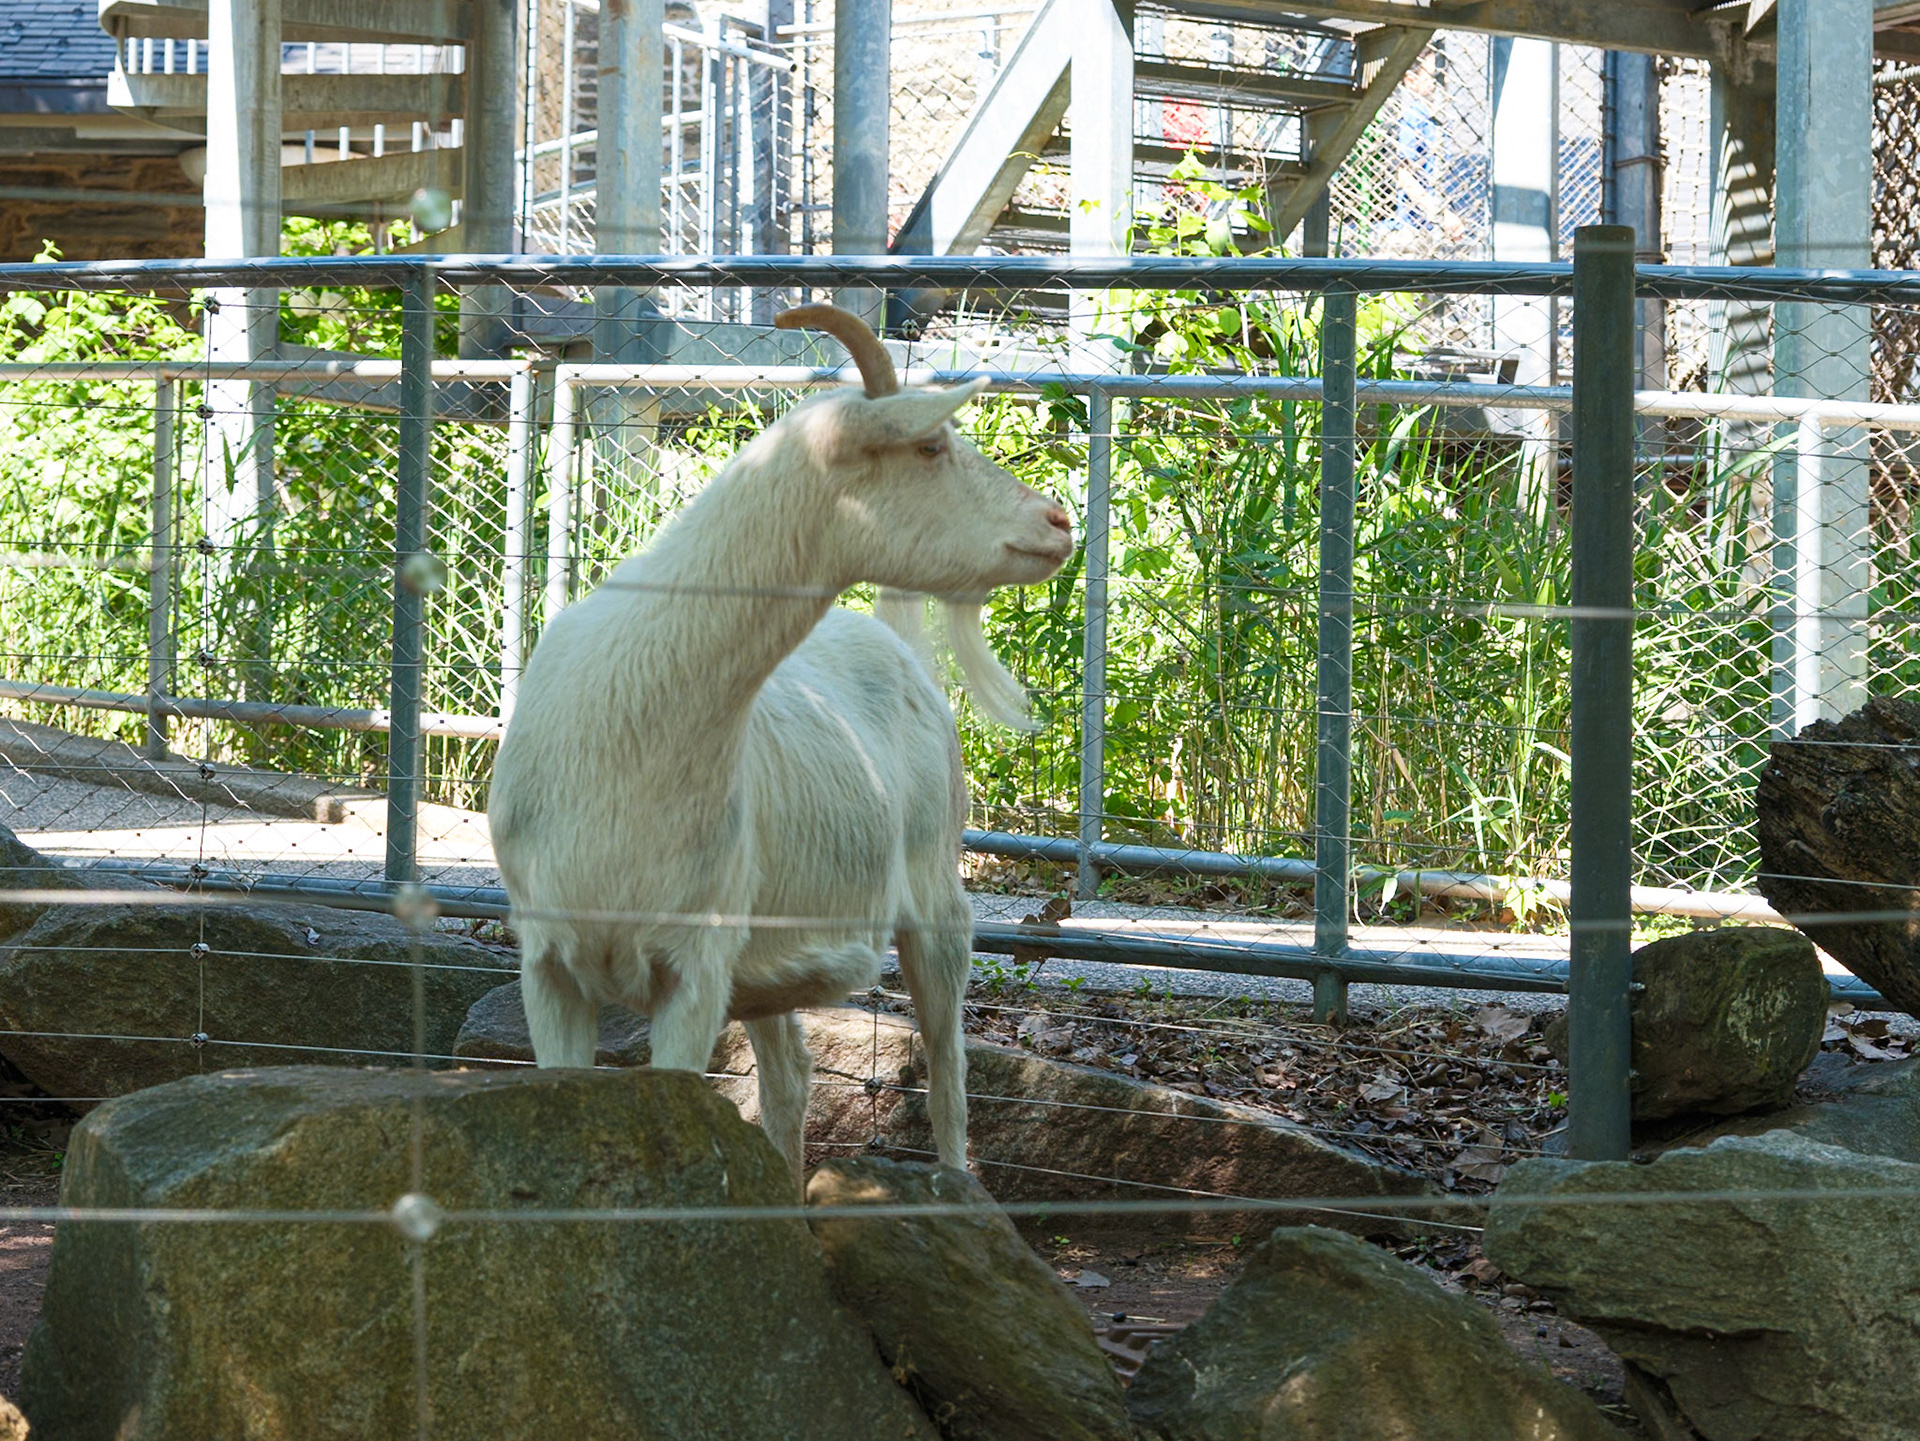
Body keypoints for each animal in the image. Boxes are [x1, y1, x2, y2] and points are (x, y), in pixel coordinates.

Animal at [487, 305, 1073, 1180]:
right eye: (931, 446)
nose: (1058, 523)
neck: (630, 737)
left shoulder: (694, 964)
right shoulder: (551, 961)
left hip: (936, 898)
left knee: (947, 1067)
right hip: (766, 963)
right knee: (793, 1079)